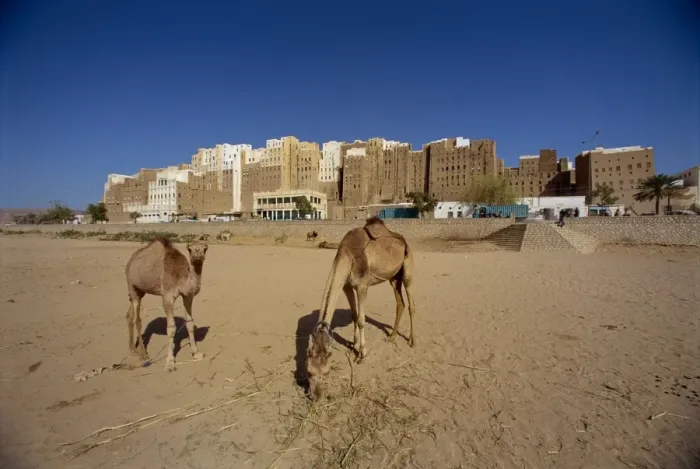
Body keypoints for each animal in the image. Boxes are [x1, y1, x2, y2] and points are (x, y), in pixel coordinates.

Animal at [125, 235, 208, 371]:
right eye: (190, 249)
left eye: (205, 249)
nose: (197, 254)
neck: (180, 276)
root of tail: (131, 260)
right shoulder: (167, 297)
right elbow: (171, 328)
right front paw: (170, 362)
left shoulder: (188, 296)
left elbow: (190, 323)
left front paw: (196, 353)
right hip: (131, 284)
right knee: (137, 319)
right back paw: (143, 355)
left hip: (140, 290)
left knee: (129, 315)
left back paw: (132, 350)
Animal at [306, 217, 416, 384]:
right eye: (309, 372)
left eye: (326, 372)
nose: (315, 391)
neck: (347, 254)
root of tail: (404, 241)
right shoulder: (347, 286)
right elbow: (354, 315)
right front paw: (355, 345)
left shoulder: (362, 286)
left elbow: (361, 320)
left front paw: (362, 354)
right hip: (393, 277)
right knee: (400, 303)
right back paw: (391, 338)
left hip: (407, 267)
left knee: (411, 304)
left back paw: (412, 341)